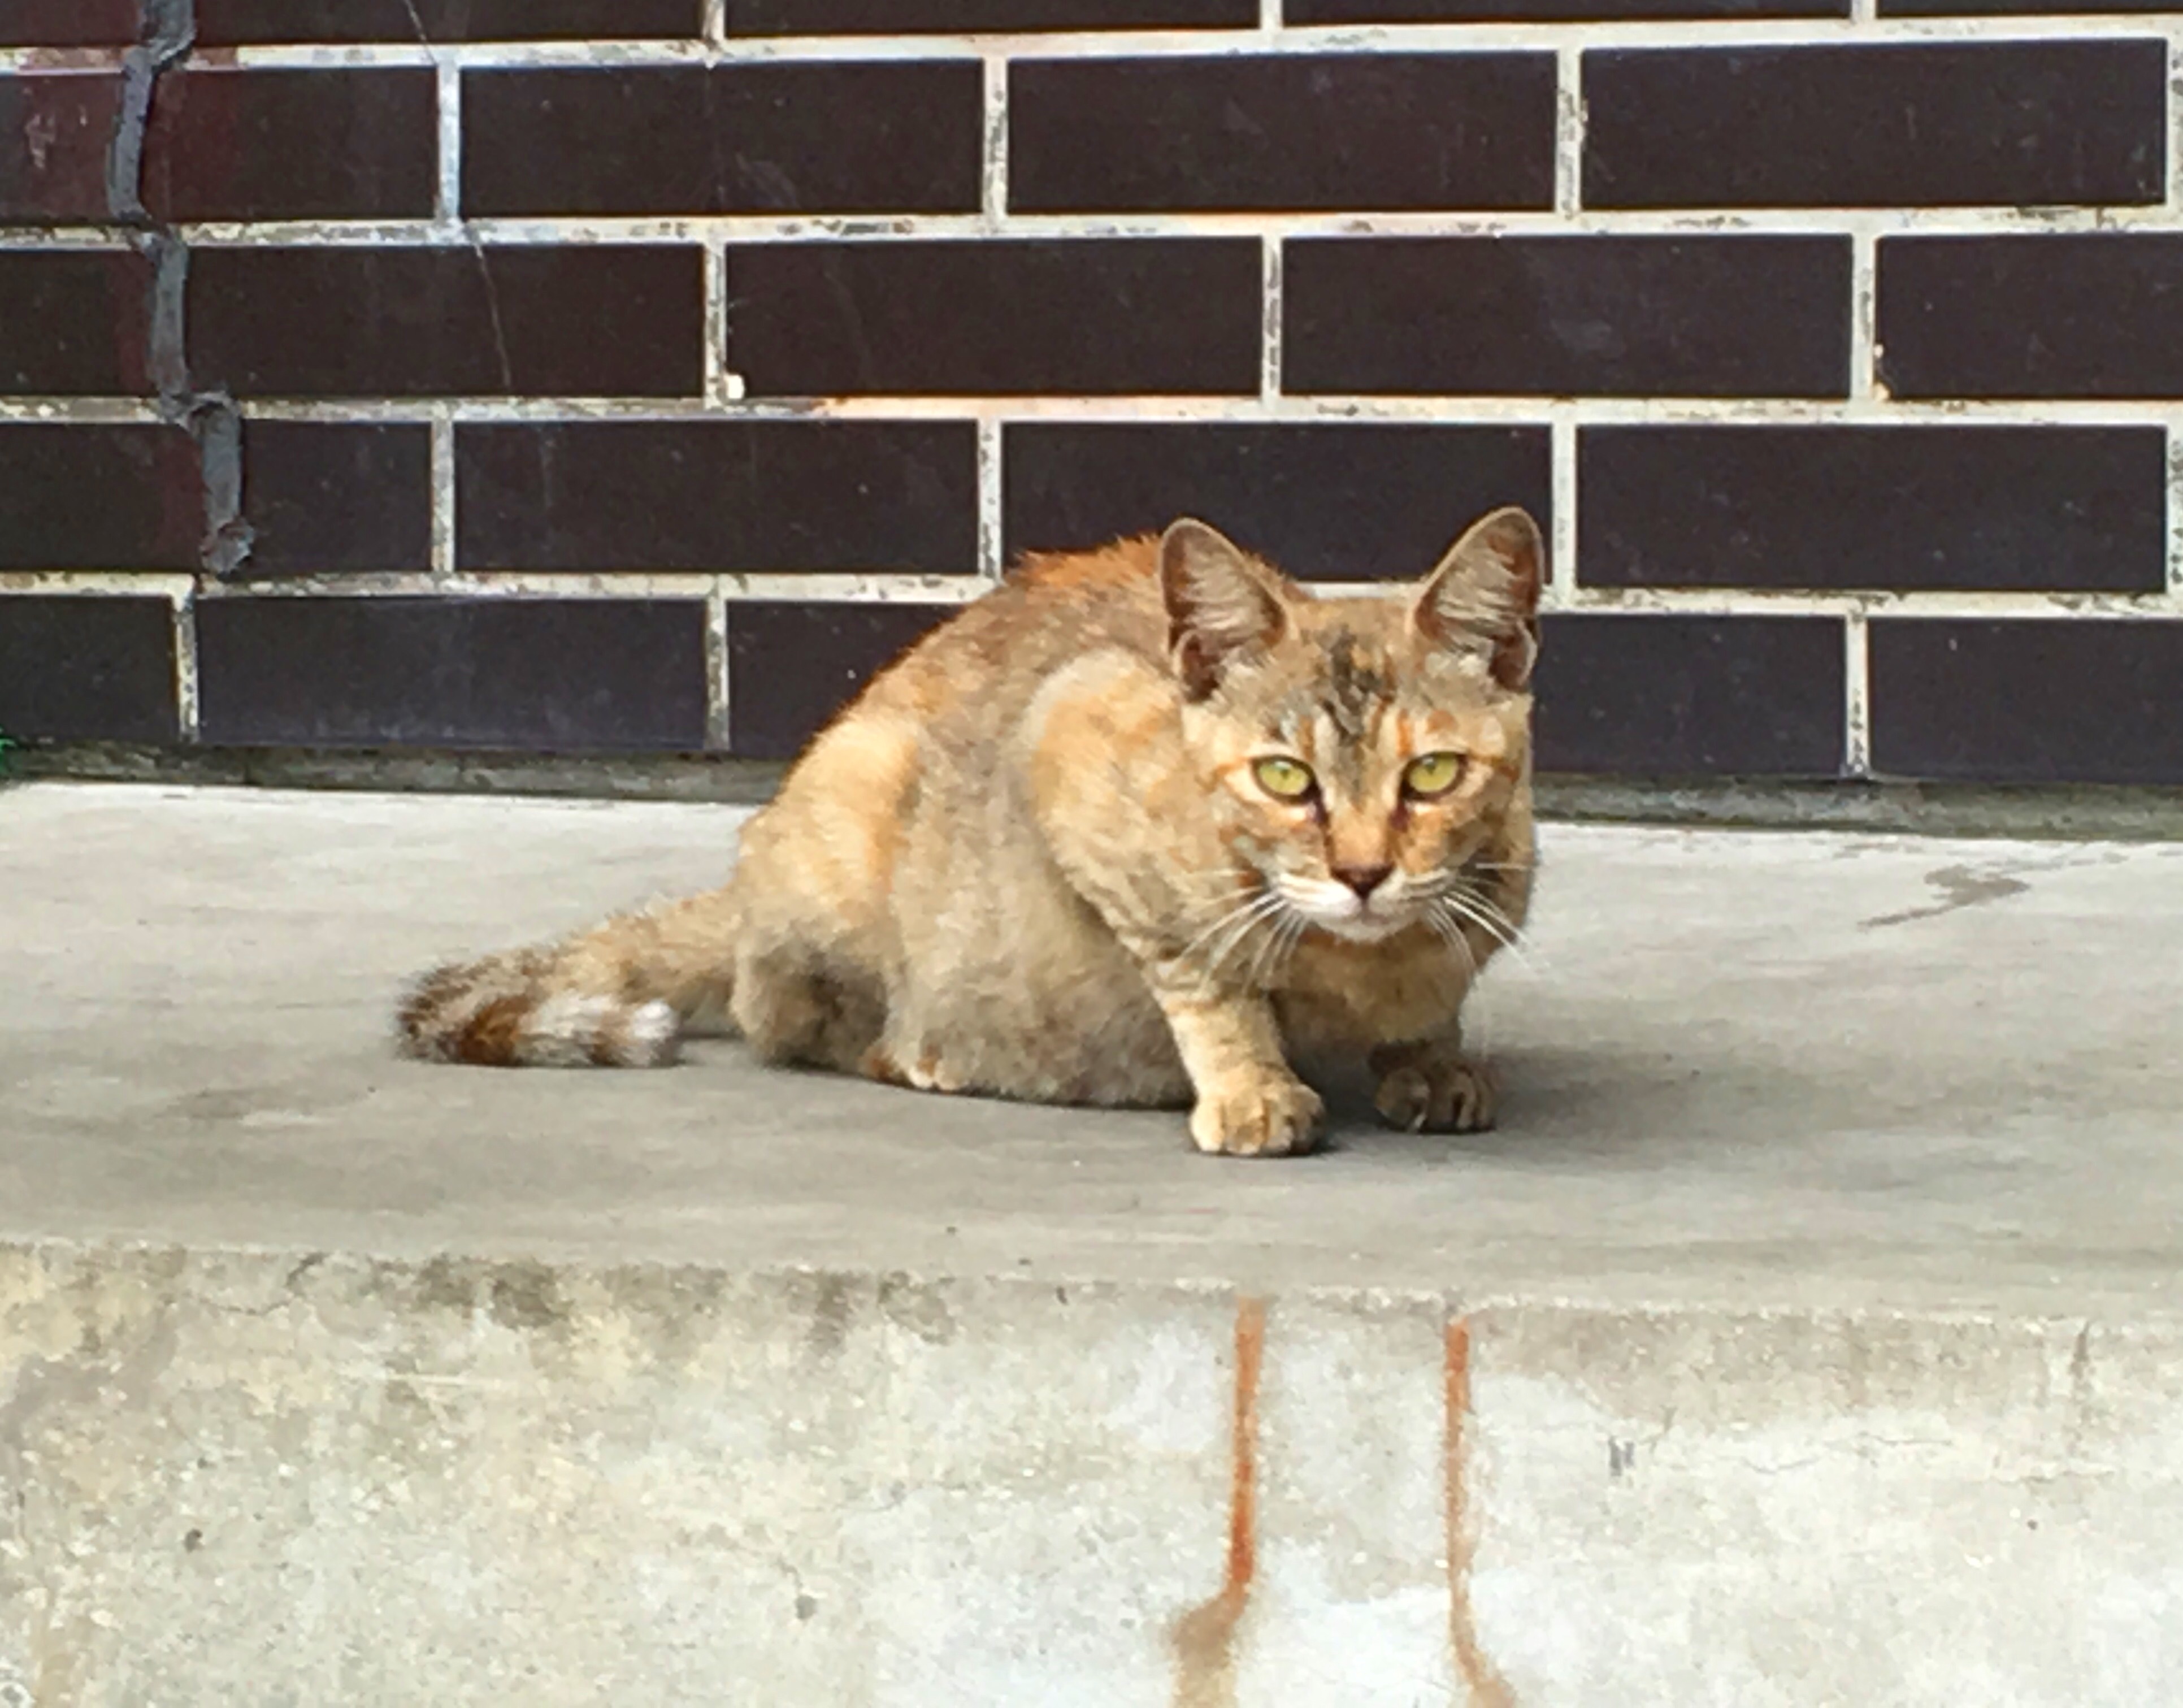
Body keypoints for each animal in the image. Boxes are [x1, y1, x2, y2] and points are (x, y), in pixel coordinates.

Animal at [401, 502, 1546, 1153]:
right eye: (1283, 775)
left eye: (1431, 773)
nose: (1361, 871)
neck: (1362, 966)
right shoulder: (1069, 733)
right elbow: (1201, 971)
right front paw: (1253, 1085)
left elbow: (1428, 1009)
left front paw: (1427, 1057)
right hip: (855, 798)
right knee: (796, 1018)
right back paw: (929, 1050)